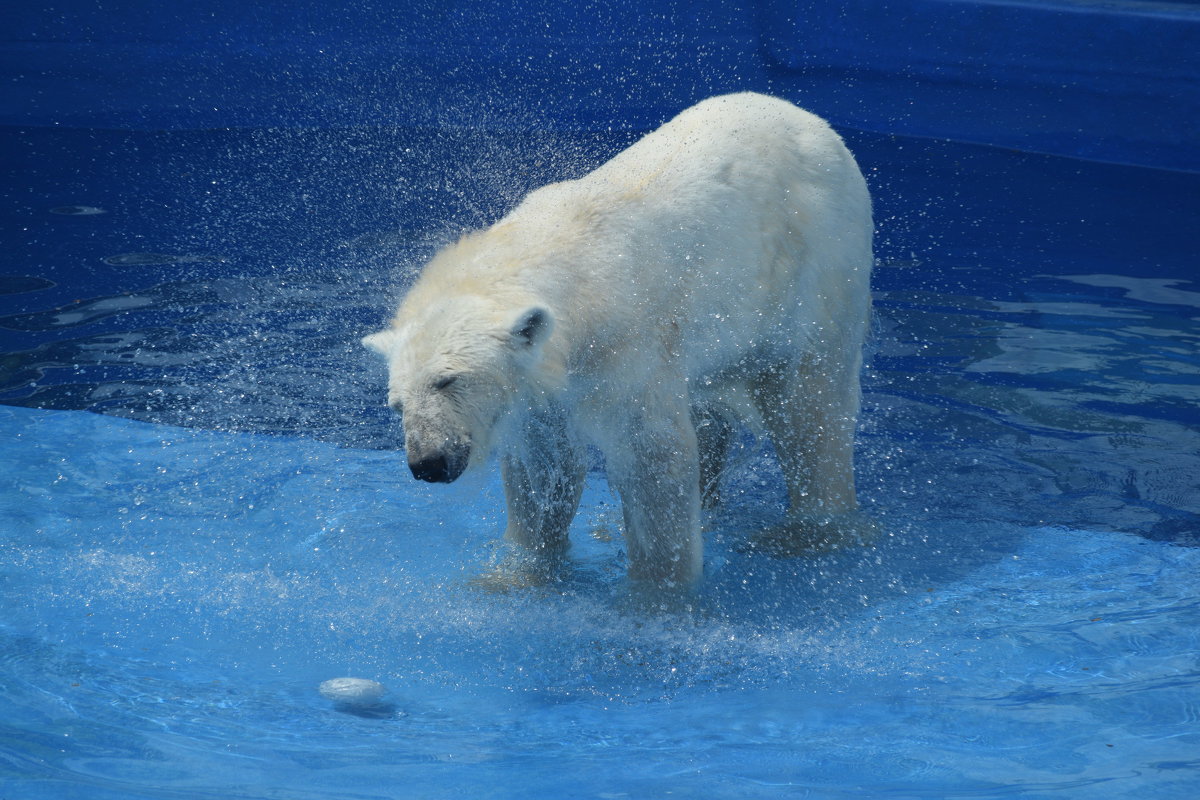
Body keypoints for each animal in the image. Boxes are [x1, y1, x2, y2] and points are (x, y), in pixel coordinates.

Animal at [360, 92, 878, 594]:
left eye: (448, 381)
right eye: (396, 403)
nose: (427, 462)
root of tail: (812, 122)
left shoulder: (628, 348)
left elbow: (654, 460)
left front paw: (656, 596)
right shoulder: (544, 389)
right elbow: (544, 467)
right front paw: (518, 574)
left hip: (816, 269)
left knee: (811, 408)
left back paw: (809, 531)